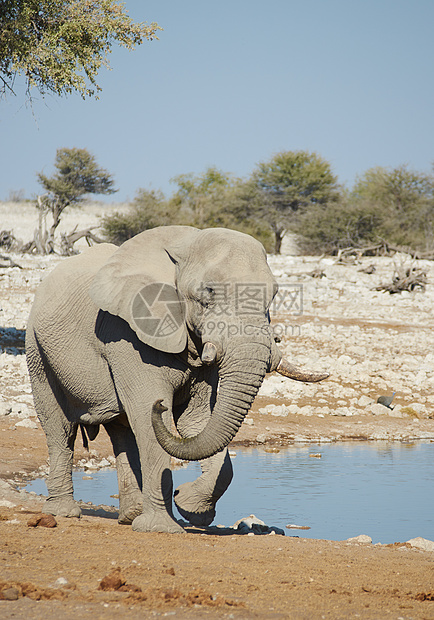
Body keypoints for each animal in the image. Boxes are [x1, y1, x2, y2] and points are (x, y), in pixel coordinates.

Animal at [25, 226, 328, 532]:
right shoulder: (128, 334)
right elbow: (147, 418)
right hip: (37, 348)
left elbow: (198, 421)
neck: (185, 244)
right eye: (208, 292)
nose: (161, 406)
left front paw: (190, 508)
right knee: (60, 428)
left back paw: (130, 515)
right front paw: (160, 528)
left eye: (274, 294)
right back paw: (64, 512)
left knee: (121, 430)